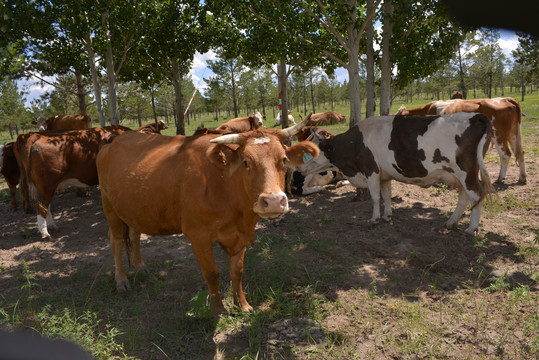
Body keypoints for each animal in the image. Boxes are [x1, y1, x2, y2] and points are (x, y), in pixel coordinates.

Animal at [96, 114, 318, 312]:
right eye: (246, 162)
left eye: (283, 160)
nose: (272, 202)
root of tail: (113, 142)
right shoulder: (198, 235)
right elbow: (212, 273)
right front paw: (218, 308)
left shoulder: (238, 235)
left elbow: (237, 271)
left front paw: (242, 304)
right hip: (109, 206)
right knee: (116, 241)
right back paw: (121, 279)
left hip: (132, 208)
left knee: (134, 234)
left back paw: (140, 266)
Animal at [396, 97, 528, 184]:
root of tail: (505, 99)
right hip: (513, 134)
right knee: (520, 153)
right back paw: (522, 178)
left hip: (498, 135)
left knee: (505, 154)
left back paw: (500, 178)